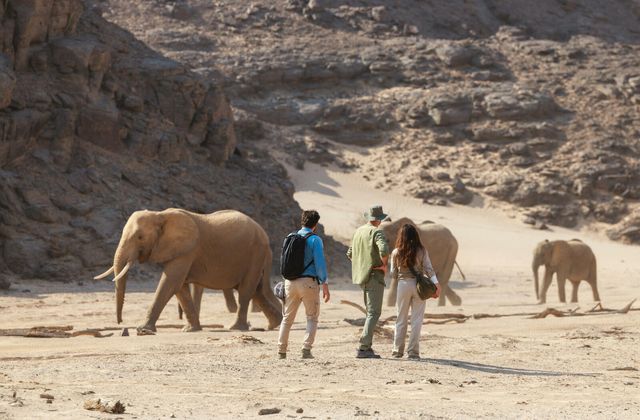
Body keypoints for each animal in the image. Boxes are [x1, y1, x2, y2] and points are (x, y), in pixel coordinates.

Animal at [94, 208, 282, 334]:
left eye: (140, 237)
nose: (120, 324)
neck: (160, 215)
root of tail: (263, 234)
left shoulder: (187, 250)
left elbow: (170, 282)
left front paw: (143, 330)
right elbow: (179, 287)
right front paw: (190, 329)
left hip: (256, 253)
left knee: (246, 290)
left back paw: (236, 328)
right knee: (257, 291)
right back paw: (274, 324)